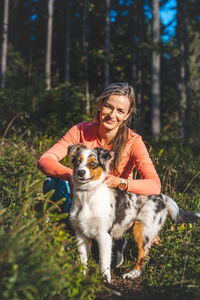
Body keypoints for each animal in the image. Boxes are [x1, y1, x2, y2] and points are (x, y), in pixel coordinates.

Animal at [68, 144, 199, 282]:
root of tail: (163, 196)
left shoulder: (103, 235)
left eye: (93, 163)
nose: (80, 172)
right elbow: (83, 260)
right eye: (78, 161)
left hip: (142, 229)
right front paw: (80, 277)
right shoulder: (80, 234)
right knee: (155, 242)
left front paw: (105, 280)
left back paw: (132, 273)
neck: (86, 196)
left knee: (143, 255)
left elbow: (103, 262)